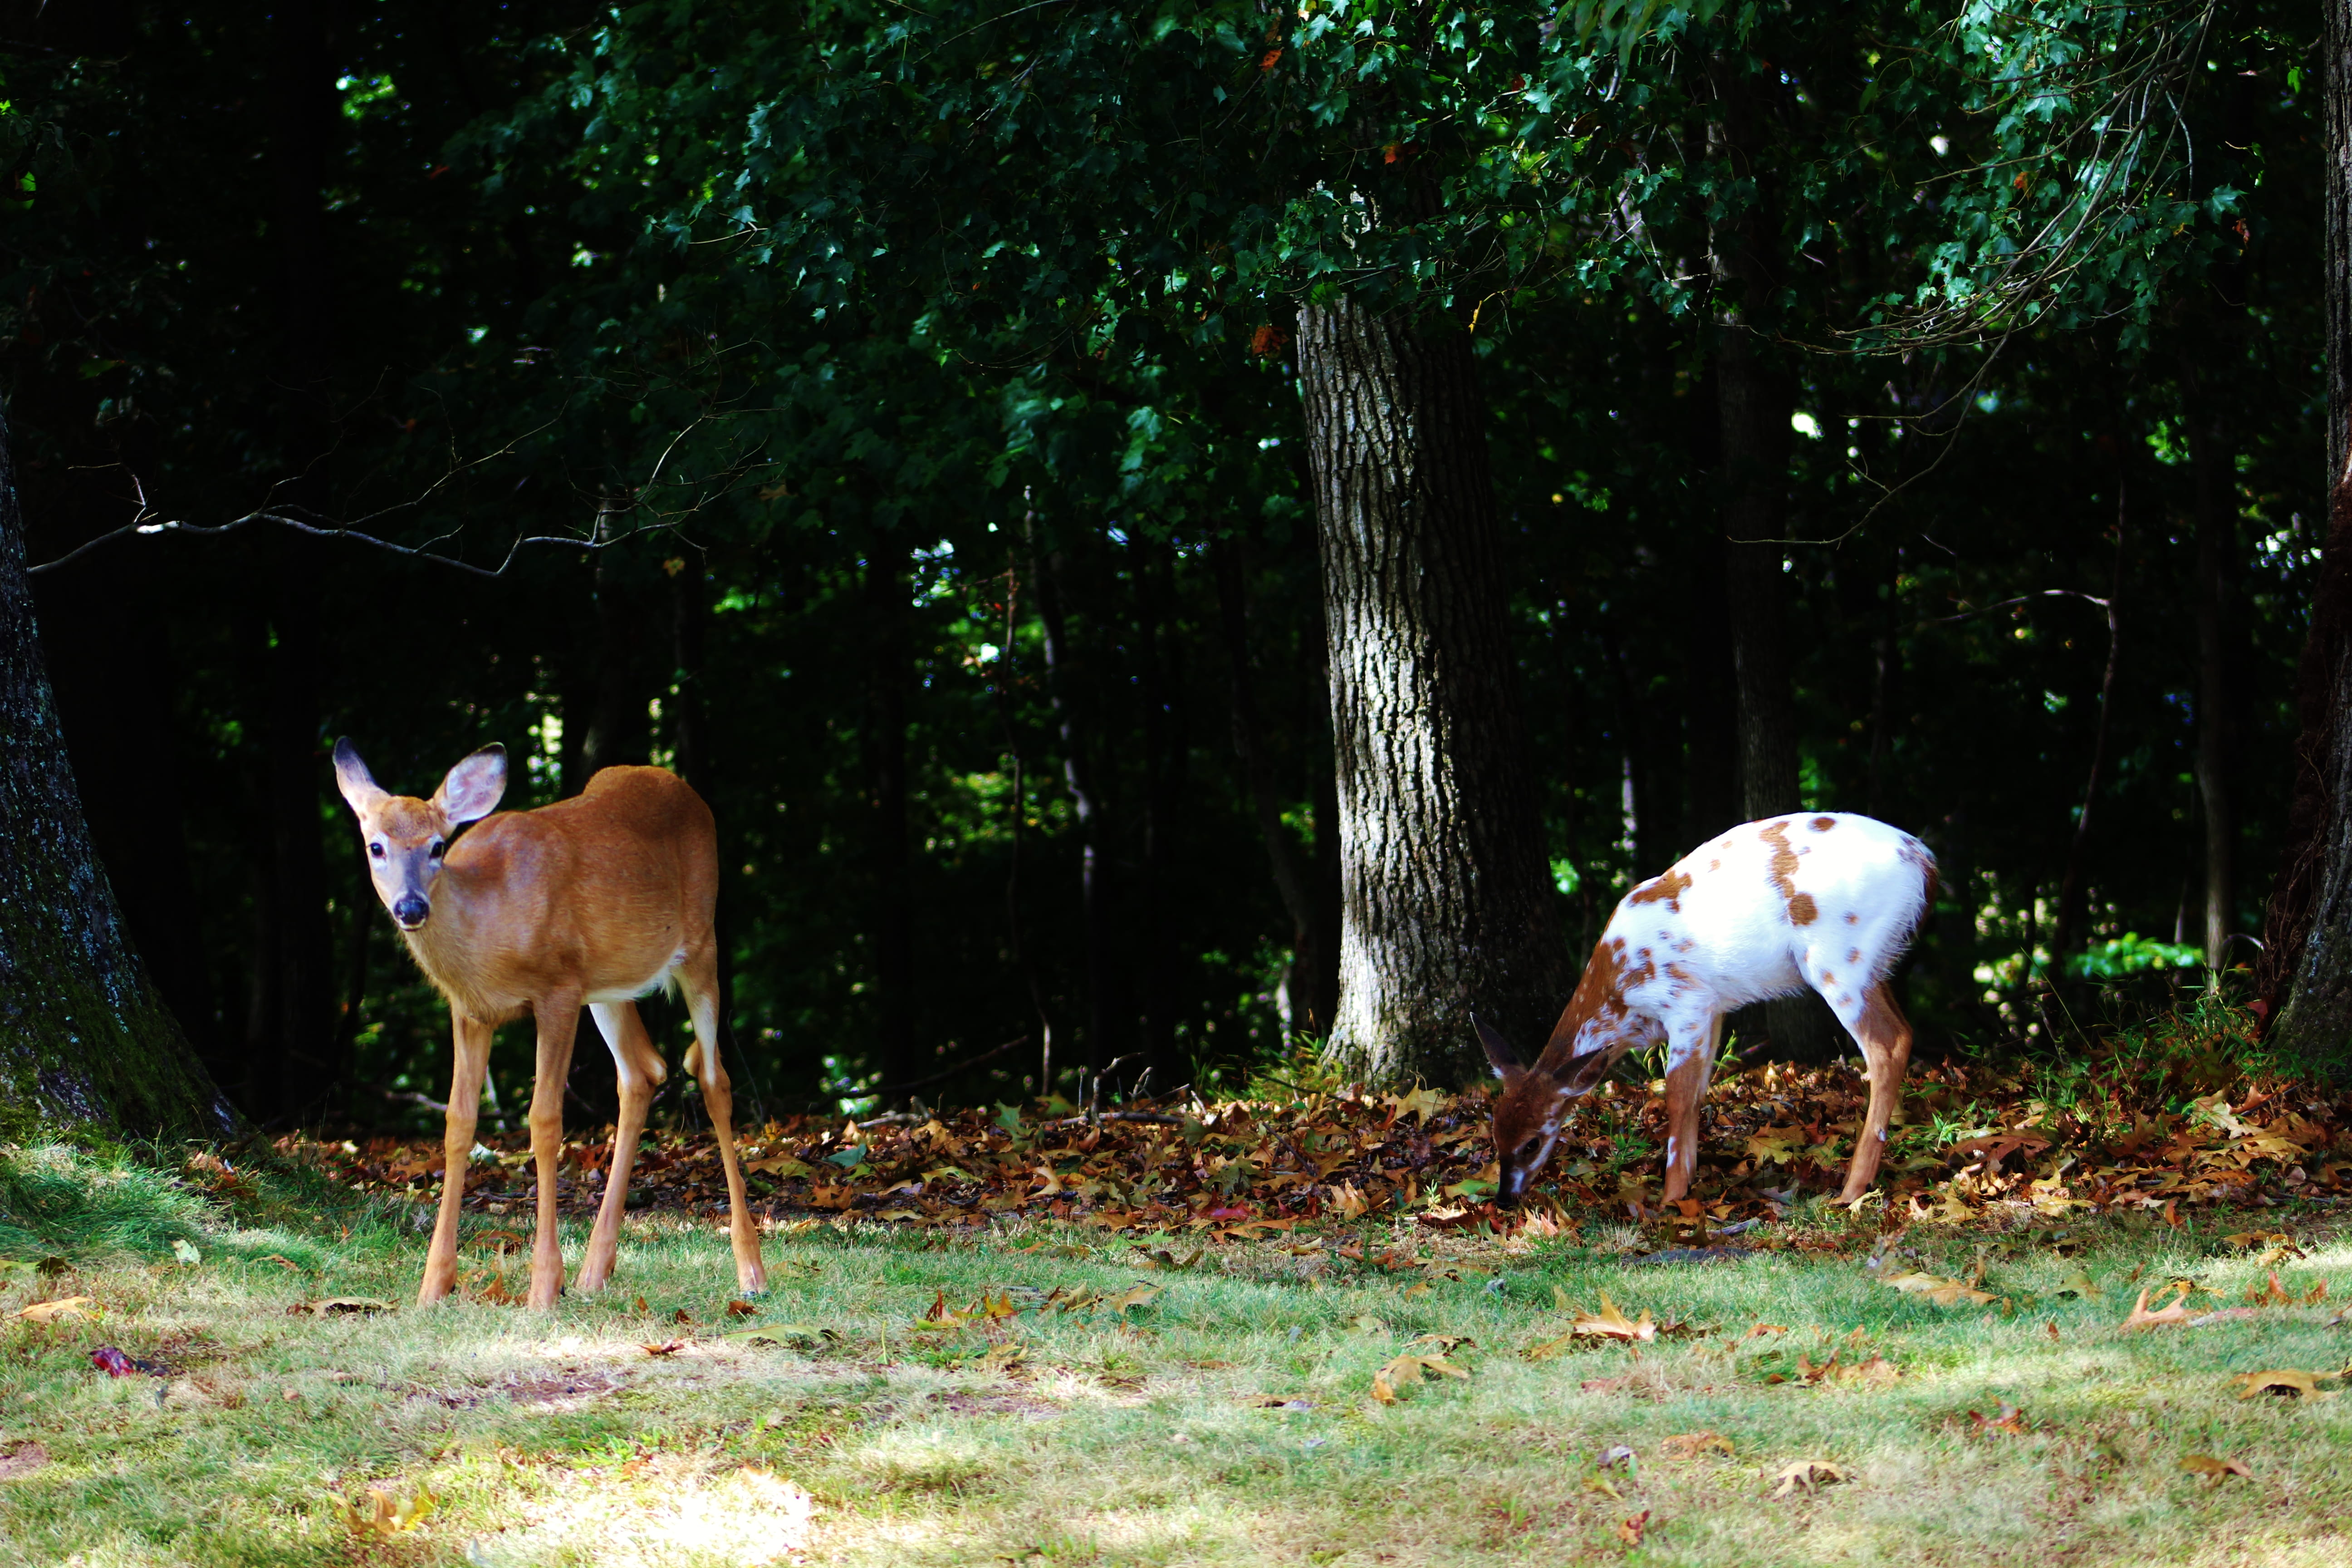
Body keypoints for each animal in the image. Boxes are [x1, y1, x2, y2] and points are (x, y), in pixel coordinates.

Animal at [332, 738, 766, 1309]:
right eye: (376, 847)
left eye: (436, 847)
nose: (410, 906)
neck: (490, 927)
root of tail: (681, 786)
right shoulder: (470, 1010)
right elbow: (458, 1124)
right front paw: (433, 1286)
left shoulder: (557, 990)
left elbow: (544, 1123)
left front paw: (543, 1286)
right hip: (607, 983)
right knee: (643, 1070)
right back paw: (595, 1271)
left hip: (700, 944)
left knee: (714, 1079)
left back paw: (751, 1270)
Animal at [1478, 812, 1935, 1212]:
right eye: (1495, 1135)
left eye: (1533, 1142)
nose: (1503, 1198)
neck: (1621, 1000)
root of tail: (1924, 862)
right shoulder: (1714, 1008)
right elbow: (1699, 1092)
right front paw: (1691, 1179)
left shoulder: (1685, 1002)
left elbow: (1677, 1096)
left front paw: (1671, 1198)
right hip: (1873, 964)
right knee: (1906, 1030)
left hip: (1836, 959)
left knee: (1887, 1044)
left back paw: (1852, 1189)